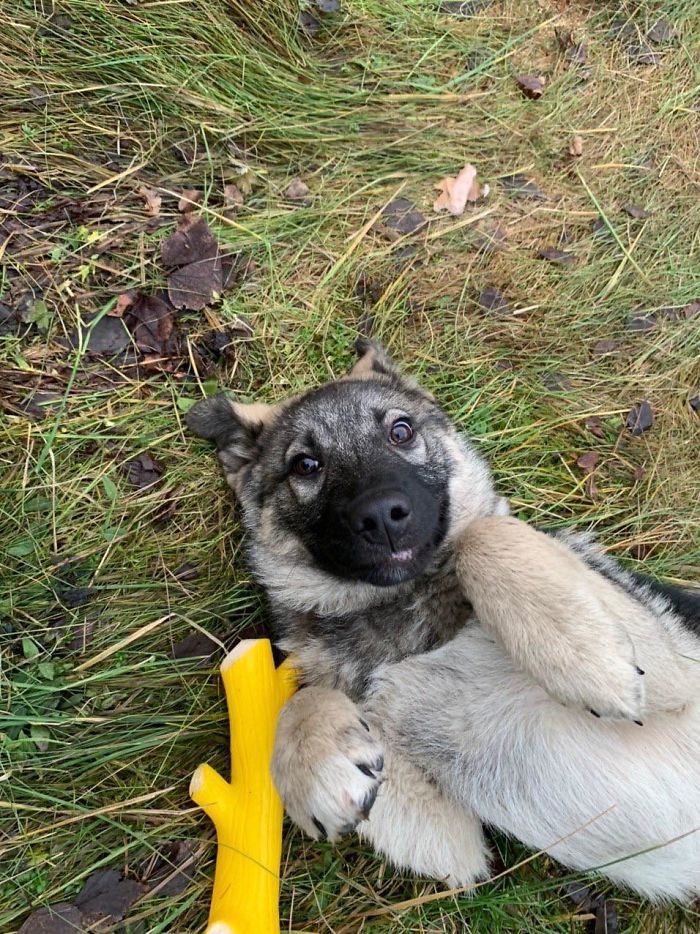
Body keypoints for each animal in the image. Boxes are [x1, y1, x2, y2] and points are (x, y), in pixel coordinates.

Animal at [187, 340, 700, 904]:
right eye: (305, 464)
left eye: (401, 431)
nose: (382, 515)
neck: (407, 612)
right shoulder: (452, 846)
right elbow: (302, 701)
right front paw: (316, 767)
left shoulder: (676, 669)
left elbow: (484, 536)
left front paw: (589, 664)